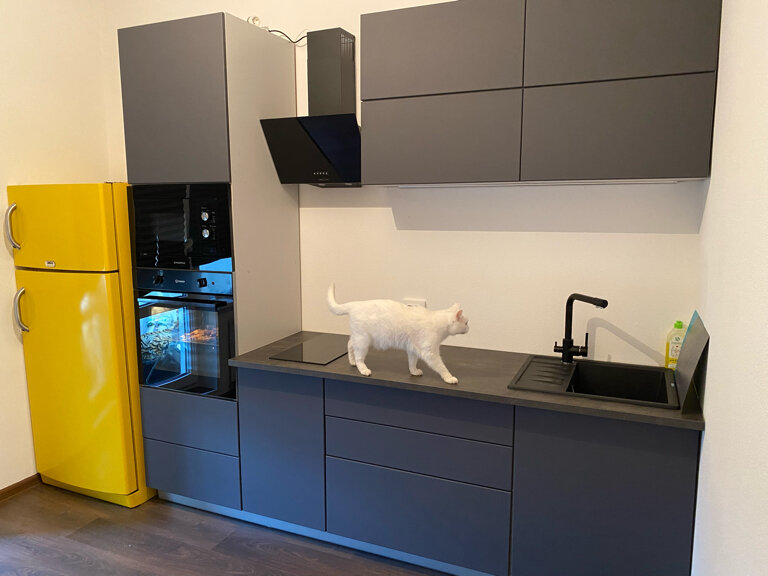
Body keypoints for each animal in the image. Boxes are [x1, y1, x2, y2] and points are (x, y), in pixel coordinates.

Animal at [327, 284, 469, 384]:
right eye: (466, 323)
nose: (469, 327)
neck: (437, 321)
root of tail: (355, 304)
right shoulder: (430, 352)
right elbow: (441, 367)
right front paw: (449, 377)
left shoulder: (413, 349)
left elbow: (412, 363)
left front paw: (414, 372)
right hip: (363, 341)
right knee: (359, 357)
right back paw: (362, 369)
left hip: (359, 338)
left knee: (349, 344)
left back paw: (352, 362)